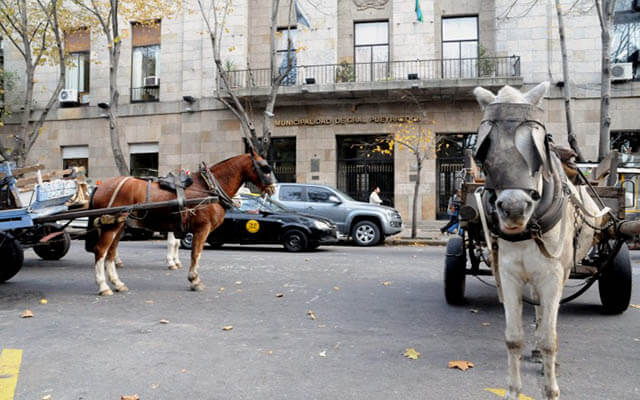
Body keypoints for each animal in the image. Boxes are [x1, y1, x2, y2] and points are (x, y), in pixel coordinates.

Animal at [85, 152, 276, 296]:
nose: (273, 188)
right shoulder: (202, 229)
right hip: (111, 227)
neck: (209, 188)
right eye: (265, 167)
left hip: (119, 226)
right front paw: (194, 280)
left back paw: (117, 283)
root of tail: (101, 186)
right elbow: (196, 254)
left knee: (110, 254)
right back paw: (103, 286)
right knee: (100, 251)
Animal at [472, 82, 608, 400]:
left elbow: (550, 338)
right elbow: (513, 338)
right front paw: (512, 391)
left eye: (536, 148)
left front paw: (550, 388)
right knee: (536, 305)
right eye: (486, 149)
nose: (513, 209)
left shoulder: (553, 274)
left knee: (547, 315)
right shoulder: (509, 274)